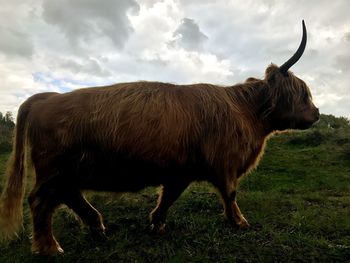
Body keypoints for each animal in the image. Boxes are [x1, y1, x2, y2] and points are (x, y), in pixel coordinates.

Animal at [0, 20, 320, 256]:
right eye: (304, 94)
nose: (317, 113)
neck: (246, 111)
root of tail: (47, 97)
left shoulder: (181, 169)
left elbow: (169, 197)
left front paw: (156, 224)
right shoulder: (224, 163)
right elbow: (230, 194)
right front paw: (240, 222)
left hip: (66, 171)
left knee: (67, 196)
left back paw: (96, 228)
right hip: (53, 169)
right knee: (41, 201)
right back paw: (49, 248)